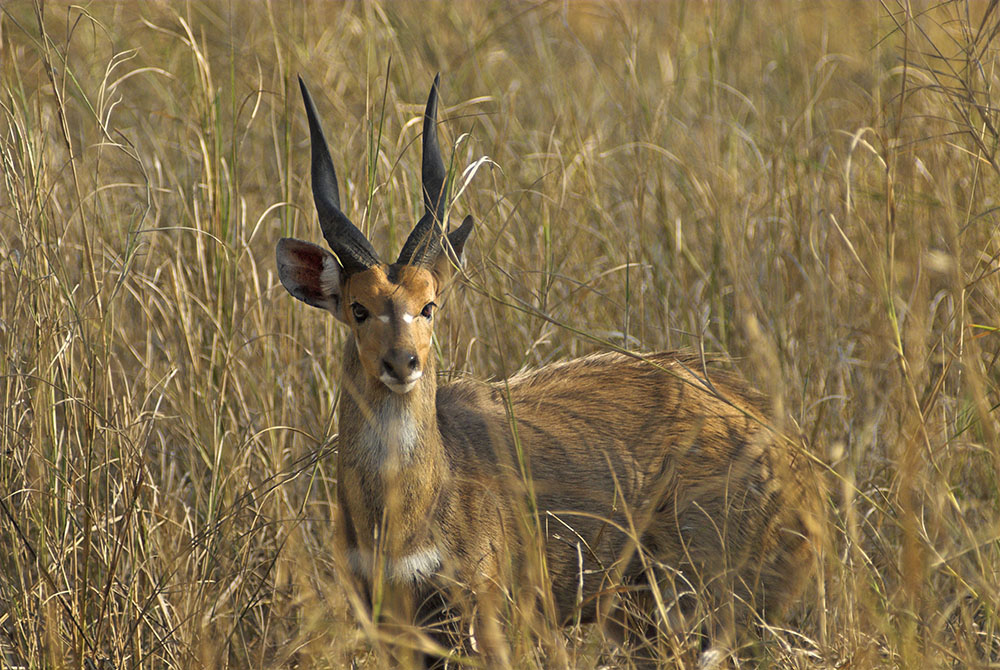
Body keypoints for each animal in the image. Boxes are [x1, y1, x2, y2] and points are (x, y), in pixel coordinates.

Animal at [278, 76, 824, 668]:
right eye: (358, 308)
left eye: (430, 305)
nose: (403, 362)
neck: (404, 520)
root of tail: (798, 463)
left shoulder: (488, 616)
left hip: (717, 607)